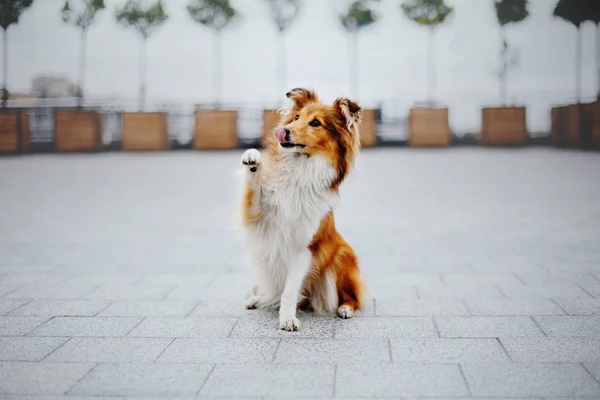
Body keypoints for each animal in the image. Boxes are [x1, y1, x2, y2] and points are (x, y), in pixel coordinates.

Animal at [239, 87, 366, 332]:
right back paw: (255, 299)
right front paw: (253, 158)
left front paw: (287, 319)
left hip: (341, 255)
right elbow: (253, 188)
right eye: (297, 117)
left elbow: (290, 290)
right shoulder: (258, 215)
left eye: (316, 123)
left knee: (352, 297)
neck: (299, 168)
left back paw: (345, 309)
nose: (283, 131)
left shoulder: (304, 246)